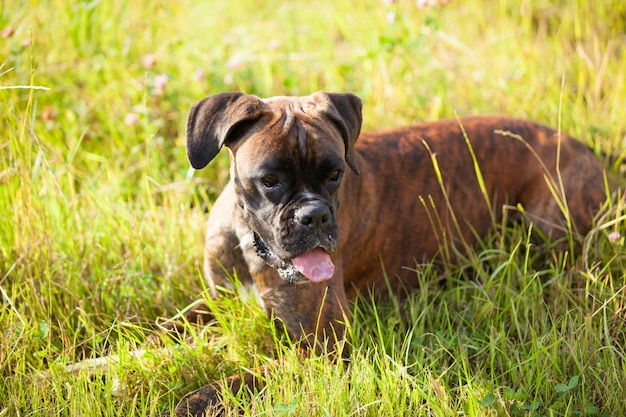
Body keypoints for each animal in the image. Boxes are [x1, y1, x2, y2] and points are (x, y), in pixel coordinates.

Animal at [165, 92, 604, 416]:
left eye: (336, 174)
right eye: (270, 180)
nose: (315, 216)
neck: (248, 237)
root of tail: (586, 147)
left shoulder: (322, 349)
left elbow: (247, 377)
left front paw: (195, 400)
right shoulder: (214, 301)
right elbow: (168, 325)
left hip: (545, 225)